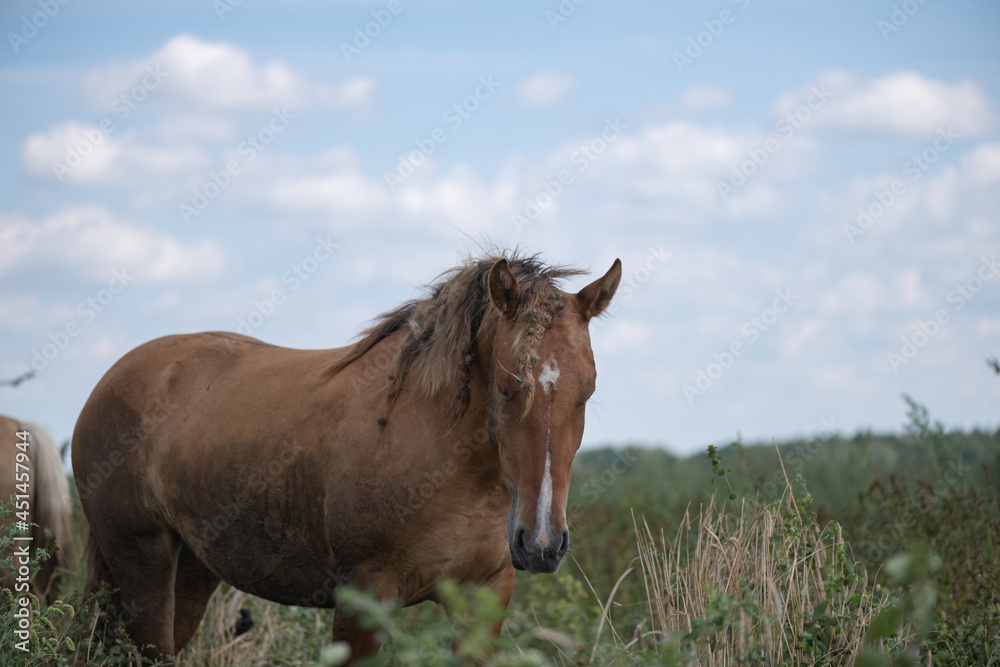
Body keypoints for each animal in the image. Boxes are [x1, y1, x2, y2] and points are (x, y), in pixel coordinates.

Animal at [72, 252, 616, 664]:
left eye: (588, 391)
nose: (542, 543)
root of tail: (109, 381)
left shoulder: (485, 596)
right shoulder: (364, 598)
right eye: (506, 388)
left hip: (192, 567)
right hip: (142, 561)